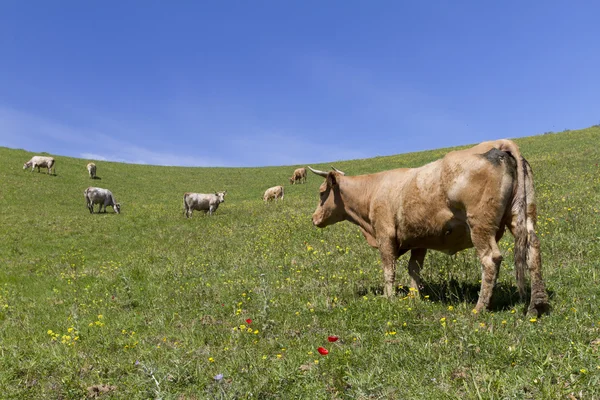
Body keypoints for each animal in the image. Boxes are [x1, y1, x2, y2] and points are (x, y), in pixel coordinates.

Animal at [312, 141, 552, 316]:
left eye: (322, 192)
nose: (314, 218)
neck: (373, 190)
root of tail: (498, 145)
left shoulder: (385, 234)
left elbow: (389, 269)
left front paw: (388, 298)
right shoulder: (420, 239)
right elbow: (414, 269)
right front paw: (414, 297)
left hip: (480, 224)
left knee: (490, 259)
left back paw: (480, 307)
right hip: (523, 215)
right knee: (533, 249)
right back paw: (537, 305)